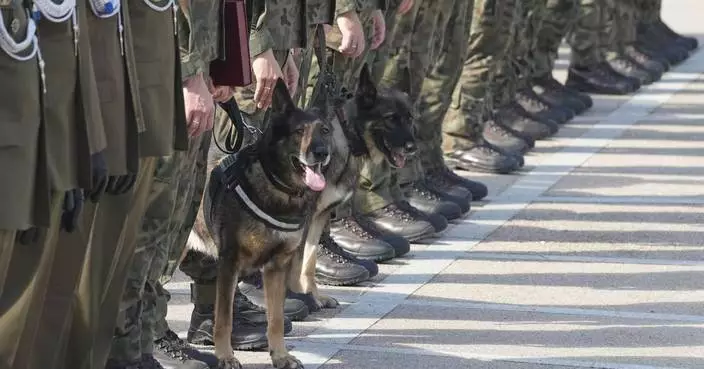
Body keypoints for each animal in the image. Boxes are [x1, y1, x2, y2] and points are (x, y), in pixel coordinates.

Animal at [190, 78, 336, 368]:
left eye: (324, 130)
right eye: (298, 131)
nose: (321, 152)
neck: (277, 185)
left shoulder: (276, 267)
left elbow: (276, 319)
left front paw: (280, 355)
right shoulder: (229, 263)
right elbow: (224, 318)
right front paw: (225, 356)